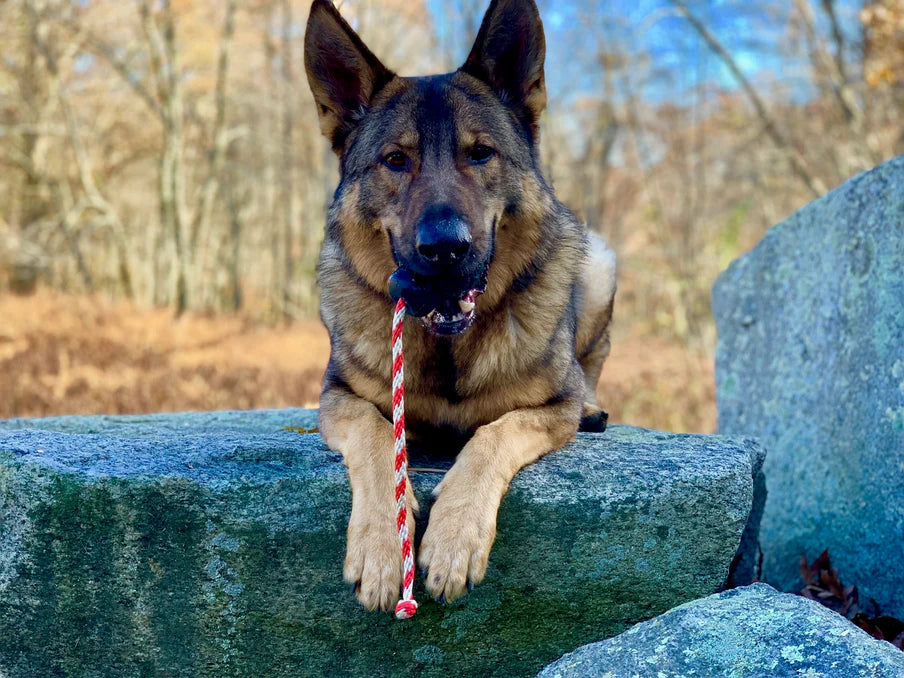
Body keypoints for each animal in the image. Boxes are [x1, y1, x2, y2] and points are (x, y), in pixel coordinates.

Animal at [304, 0, 616, 612]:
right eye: (395, 160)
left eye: (480, 153)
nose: (445, 249)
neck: (448, 348)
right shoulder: (338, 398)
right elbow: (376, 437)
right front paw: (383, 544)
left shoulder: (550, 408)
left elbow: (495, 432)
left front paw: (455, 535)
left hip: (599, 265)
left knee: (589, 364)